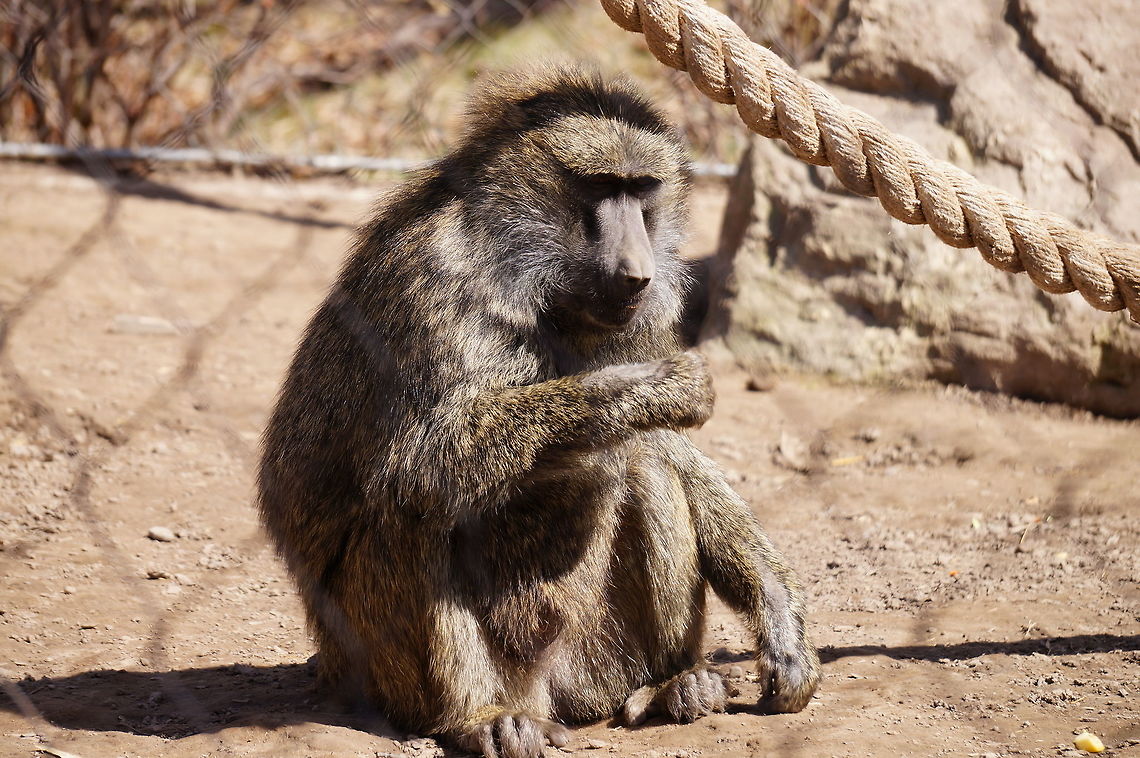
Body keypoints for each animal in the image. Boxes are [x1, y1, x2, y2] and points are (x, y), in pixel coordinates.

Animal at [257, 65, 820, 758]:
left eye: (640, 190)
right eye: (601, 188)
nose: (636, 271)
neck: (536, 282)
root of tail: (550, 693)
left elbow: (676, 454)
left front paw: (780, 625)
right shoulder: (432, 281)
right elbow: (416, 465)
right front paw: (650, 385)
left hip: (597, 661)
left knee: (646, 461)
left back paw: (673, 684)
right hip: (383, 665)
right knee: (416, 512)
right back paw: (479, 717)